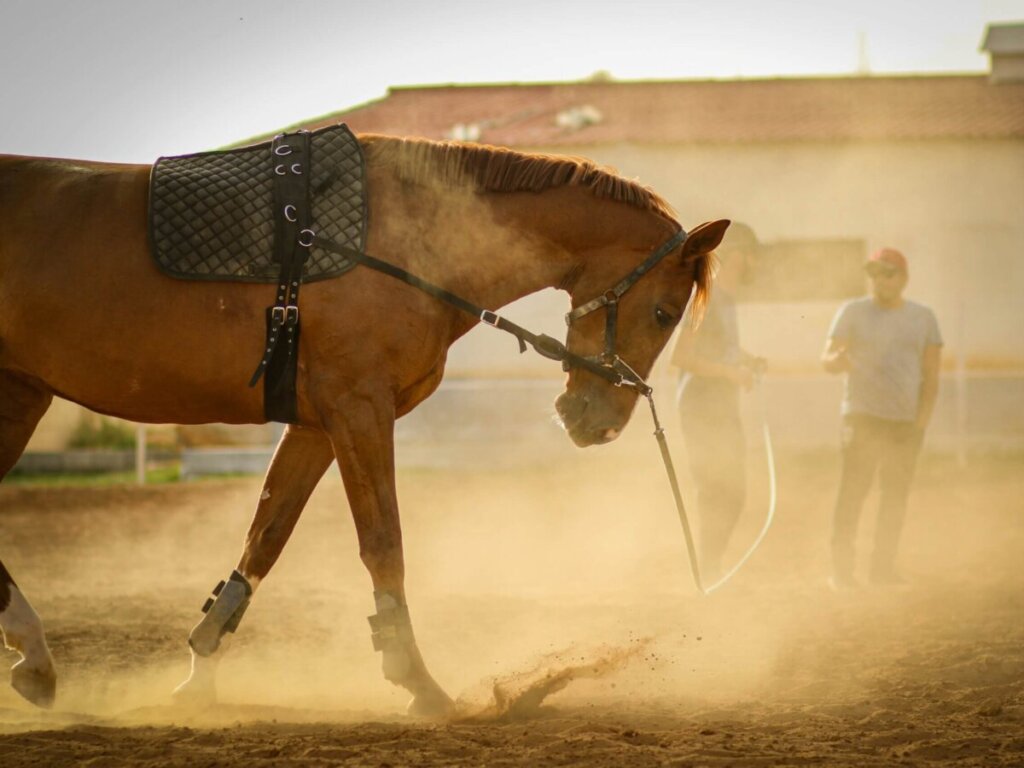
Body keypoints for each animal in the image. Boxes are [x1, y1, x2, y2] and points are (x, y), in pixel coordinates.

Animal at [0, 131, 727, 716]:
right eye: (664, 312)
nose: (597, 422)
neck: (406, 238)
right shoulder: (359, 410)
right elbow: (384, 543)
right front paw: (418, 683)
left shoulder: (317, 425)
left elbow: (265, 538)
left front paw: (200, 670)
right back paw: (33, 654)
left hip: (22, 394)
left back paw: (34, 659)